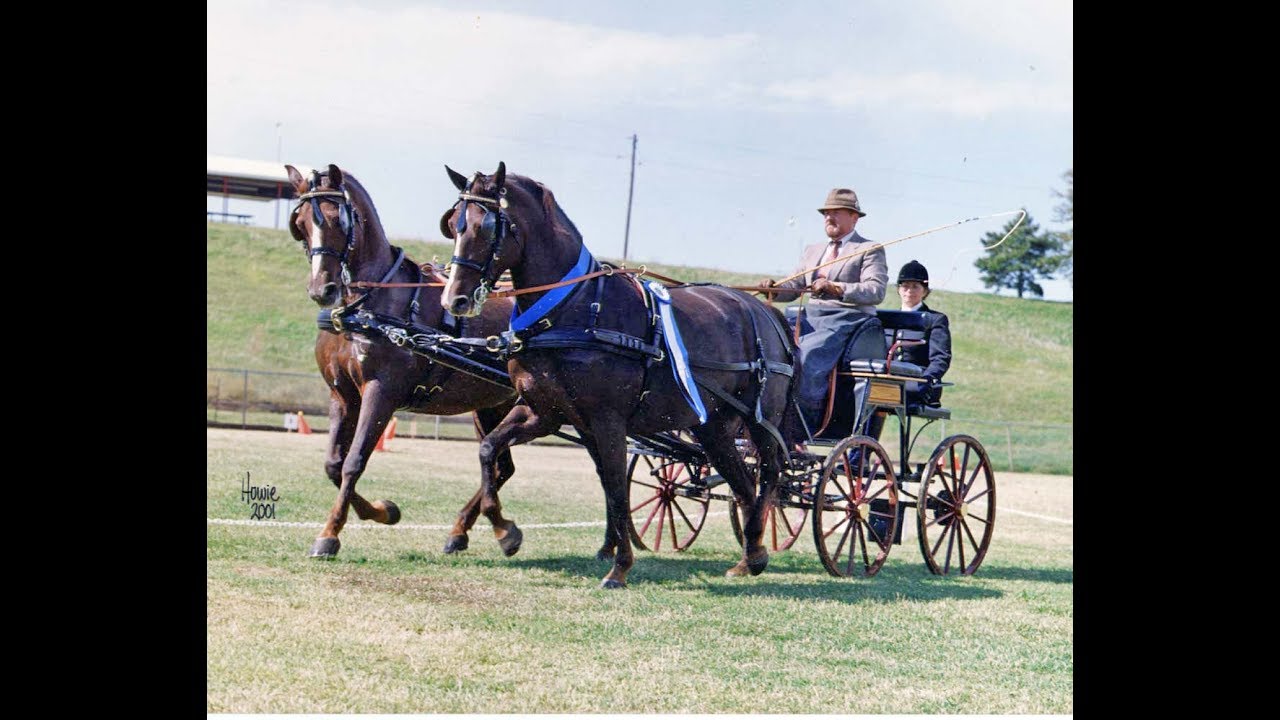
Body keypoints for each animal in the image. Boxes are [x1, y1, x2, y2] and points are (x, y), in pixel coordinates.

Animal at [285, 163, 527, 559]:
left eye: (337, 219)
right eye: (301, 223)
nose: (322, 289)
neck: (367, 306)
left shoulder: (381, 393)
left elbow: (354, 462)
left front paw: (330, 534)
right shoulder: (342, 394)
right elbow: (334, 464)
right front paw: (383, 511)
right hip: (493, 405)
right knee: (501, 466)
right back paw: (463, 531)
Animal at [439, 162, 802, 589]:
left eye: (487, 226)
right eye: (454, 224)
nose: (454, 299)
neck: (571, 308)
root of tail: (765, 311)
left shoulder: (607, 419)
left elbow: (614, 486)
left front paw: (619, 566)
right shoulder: (542, 412)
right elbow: (488, 452)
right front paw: (505, 532)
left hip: (761, 419)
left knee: (771, 473)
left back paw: (757, 546)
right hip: (712, 427)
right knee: (743, 482)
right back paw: (750, 556)